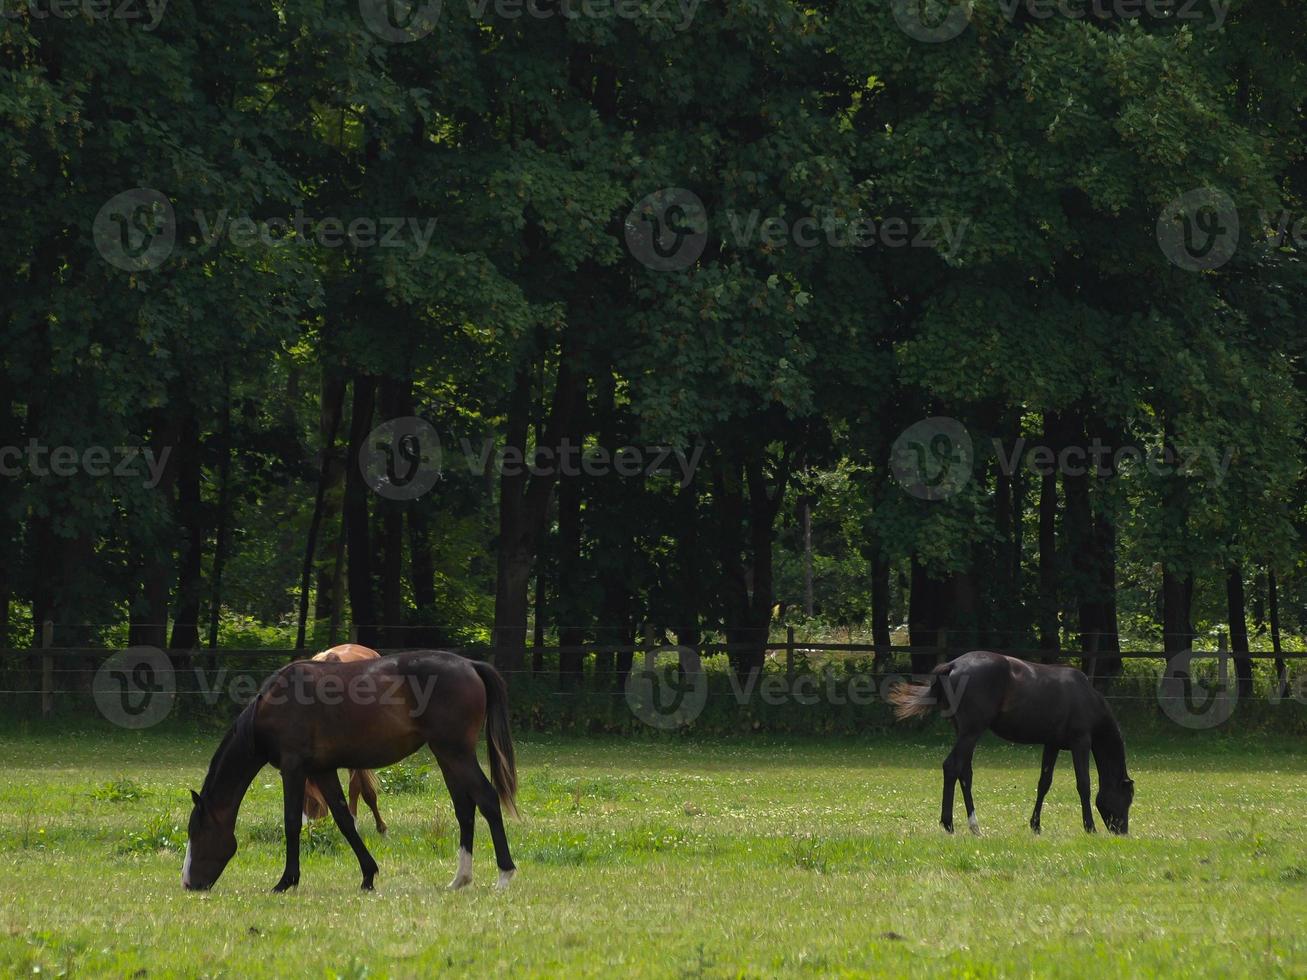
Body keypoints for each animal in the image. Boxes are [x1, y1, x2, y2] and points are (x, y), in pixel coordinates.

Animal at [888, 653, 1134, 836]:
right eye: (1127, 798)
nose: (1122, 831)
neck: (1086, 697)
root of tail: (953, 665)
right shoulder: (1080, 742)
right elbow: (1084, 783)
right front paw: (1090, 827)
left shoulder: (1052, 744)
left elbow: (1044, 783)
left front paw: (1035, 825)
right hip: (971, 732)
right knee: (952, 767)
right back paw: (949, 824)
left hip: (965, 733)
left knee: (965, 773)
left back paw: (975, 826)